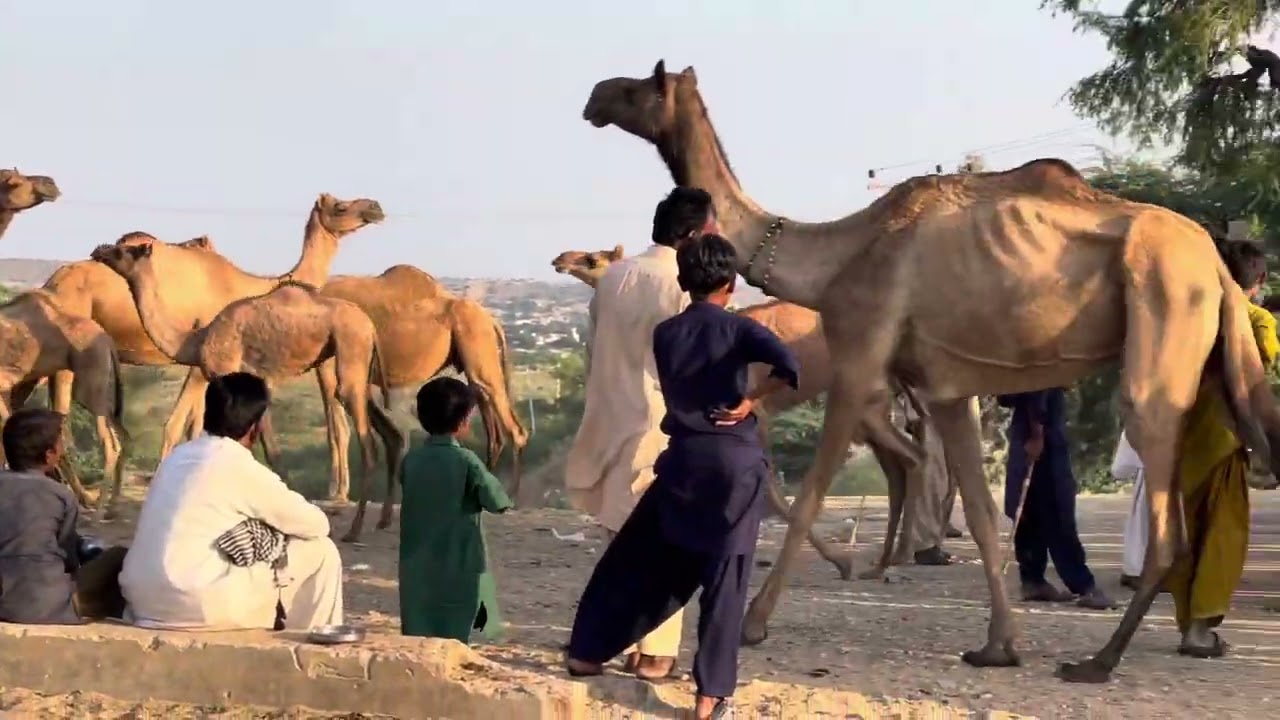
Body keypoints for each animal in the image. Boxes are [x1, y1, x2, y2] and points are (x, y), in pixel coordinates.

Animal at [0, 290, 126, 513]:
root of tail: (107, 339)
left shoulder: (5, 381)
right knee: (120, 432)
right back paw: (109, 505)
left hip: (88, 382)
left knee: (110, 444)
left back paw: (98, 510)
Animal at [40, 194, 385, 473]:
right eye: (340, 206)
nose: (375, 207)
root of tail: (51, 282)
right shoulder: (204, 359)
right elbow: (178, 425)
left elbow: (196, 426)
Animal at [90, 242, 406, 542]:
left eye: (125, 249)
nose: (99, 250)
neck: (195, 340)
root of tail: (370, 326)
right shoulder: (255, 386)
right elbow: (267, 450)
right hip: (358, 364)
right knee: (386, 431)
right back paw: (381, 520)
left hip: (350, 347)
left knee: (367, 443)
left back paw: (354, 530)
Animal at [318, 268, 528, 522]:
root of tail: (491, 319)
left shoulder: (331, 363)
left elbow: (338, 427)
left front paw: (337, 495)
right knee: (492, 426)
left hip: (478, 344)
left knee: (512, 425)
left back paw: (511, 498)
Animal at [551, 245, 926, 581]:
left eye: (593, 259)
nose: (560, 259)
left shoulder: (753, 415)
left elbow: (773, 494)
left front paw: (842, 562)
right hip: (873, 405)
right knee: (899, 465)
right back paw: (884, 562)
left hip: (870, 401)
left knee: (910, 456)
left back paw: (895, 557)